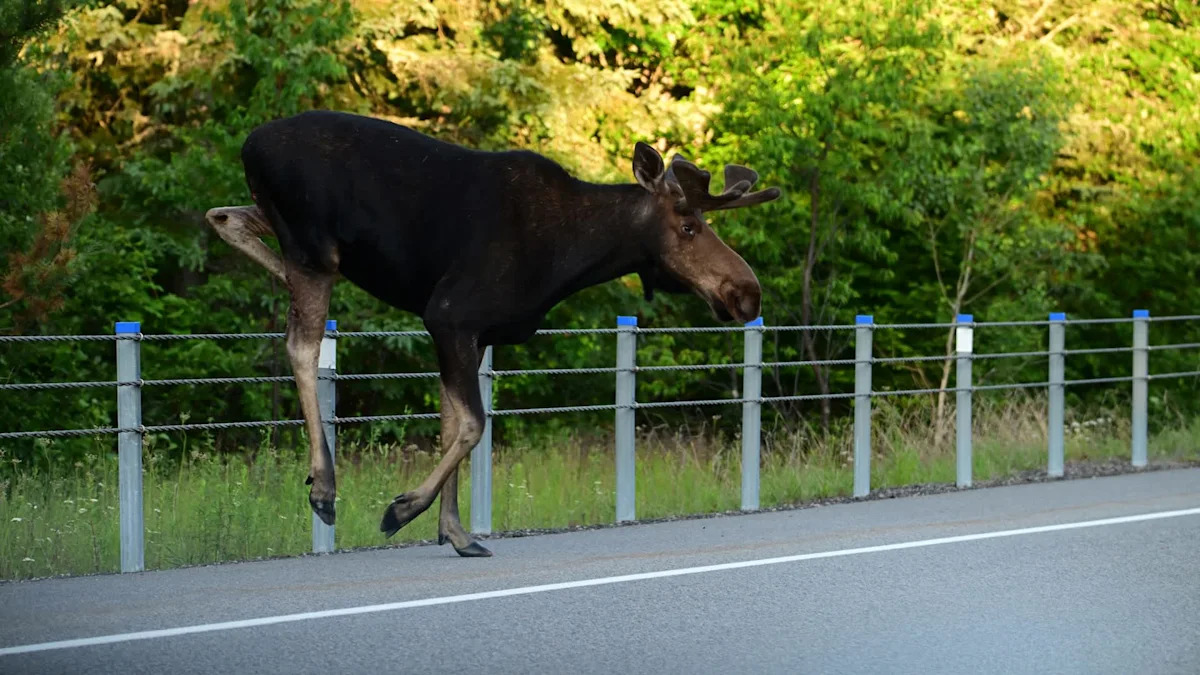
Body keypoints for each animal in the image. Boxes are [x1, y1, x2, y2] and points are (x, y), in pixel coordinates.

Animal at [204, 109, 781, 557]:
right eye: (688, 227)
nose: (747, 292)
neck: (574, 256)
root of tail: (249, 142)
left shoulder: (470, 332)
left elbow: (452, 424)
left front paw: (455, 532)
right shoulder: (449, 314)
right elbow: (473, 425)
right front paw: (402, 510)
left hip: (287, 229)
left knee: (223, 214)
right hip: (314, 247)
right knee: (300, 345)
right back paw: (323, 487)